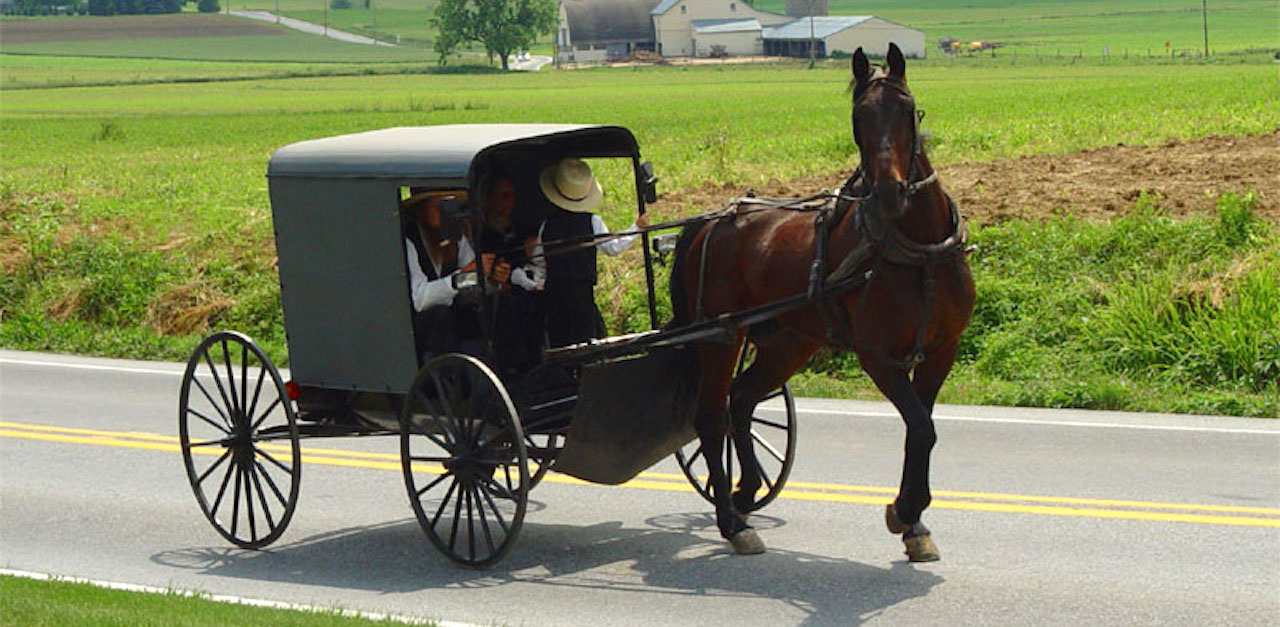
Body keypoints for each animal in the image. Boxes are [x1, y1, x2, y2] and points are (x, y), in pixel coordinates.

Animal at [665, 44, 972, 563]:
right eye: (858, 117)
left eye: (908, 109)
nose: (888, 192)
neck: (919, 250)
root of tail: (712, 221)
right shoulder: (879, 358)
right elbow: (921, 426)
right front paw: (905, 510)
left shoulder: (941, 350)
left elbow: (922, 429)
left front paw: (914, 523)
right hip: (721, 335)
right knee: (711, 416)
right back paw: (733, 522)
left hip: (788, 341)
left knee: (741, 399)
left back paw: (747, 491)